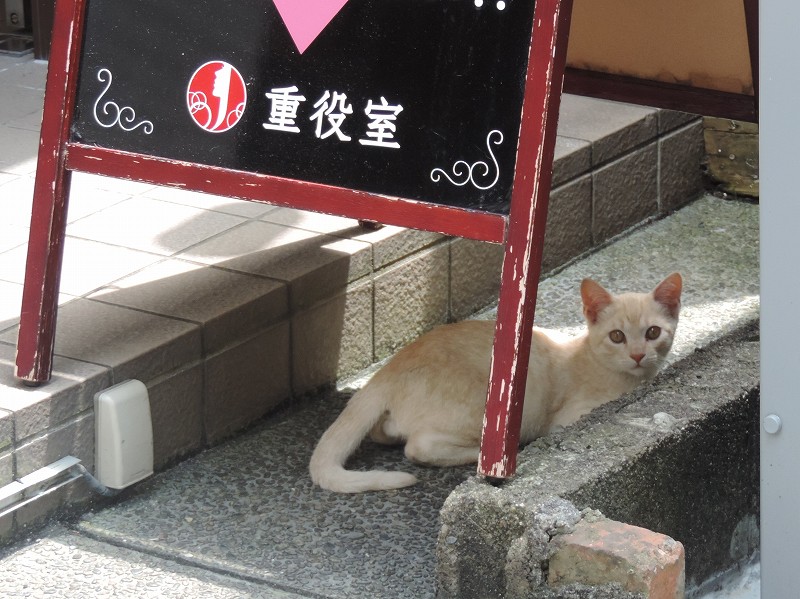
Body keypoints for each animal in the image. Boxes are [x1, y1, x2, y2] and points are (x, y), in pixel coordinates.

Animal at [310, 274, 684, 494]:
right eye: (617, 336)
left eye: (653, 333)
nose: (638, 355)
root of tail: (388, 370)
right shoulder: (571, 417)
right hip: (488, 407)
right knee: (419, 447)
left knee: (385, 431)